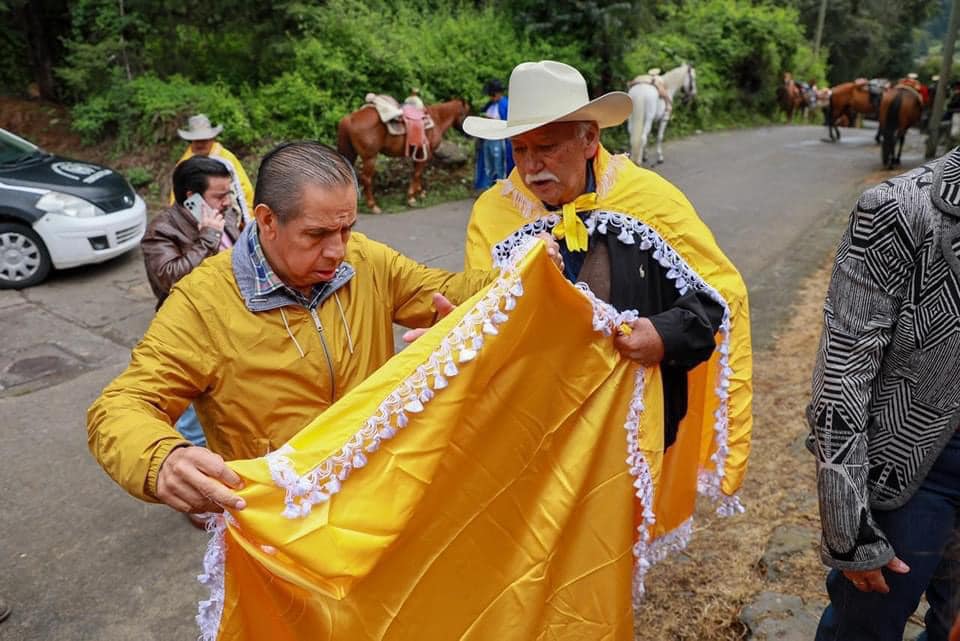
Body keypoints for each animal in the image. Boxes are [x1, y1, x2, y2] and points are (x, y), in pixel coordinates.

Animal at [338, 97, 472, 212]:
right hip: (370, 158)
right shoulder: (426, 154)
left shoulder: (418, 153)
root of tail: (350, 118)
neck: (437, 119)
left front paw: (420, 193)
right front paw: (411, 198)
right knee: (366, 179)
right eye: (466, 113)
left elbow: (417, 173)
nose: (469, 135)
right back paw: (373, 206)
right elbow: (417, 173)